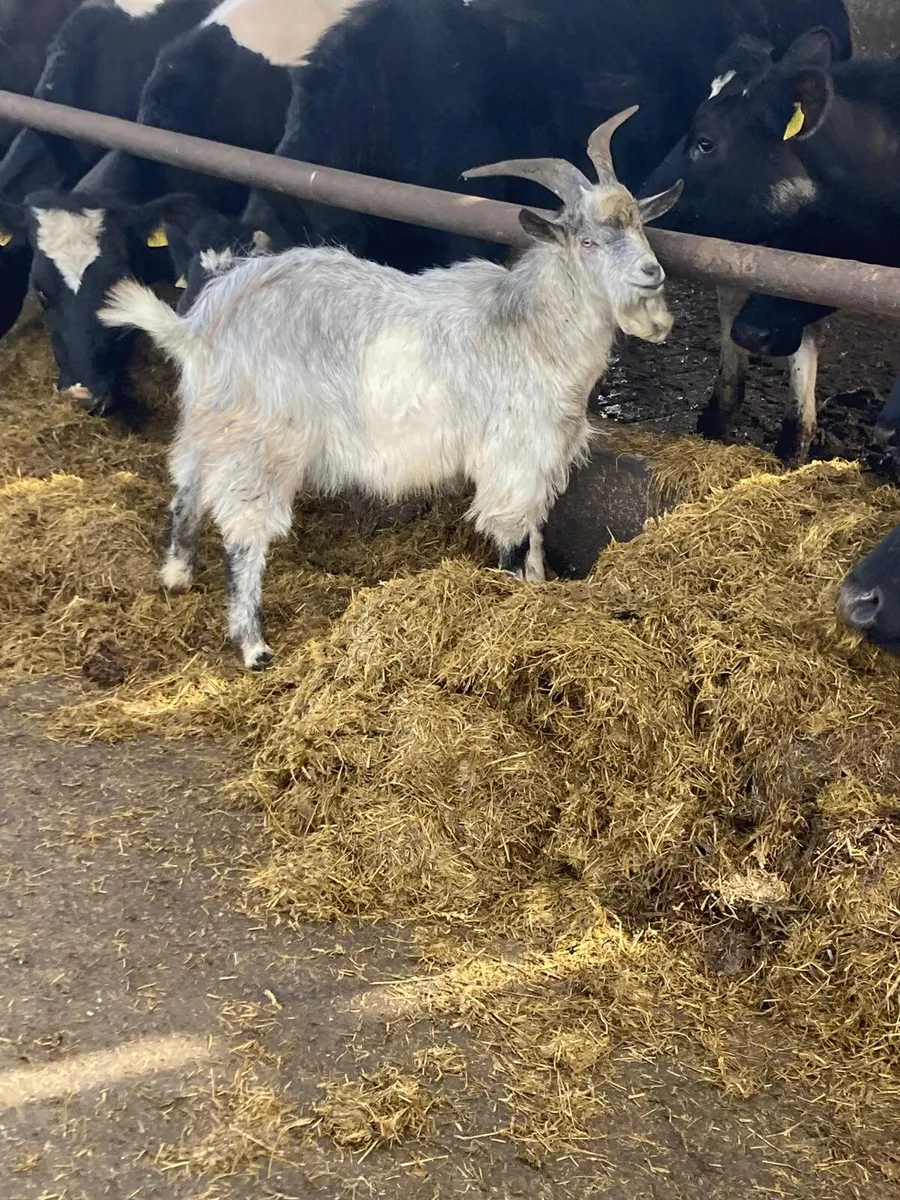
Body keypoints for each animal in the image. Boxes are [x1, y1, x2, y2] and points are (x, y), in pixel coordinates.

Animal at [99, 107, 682, 669]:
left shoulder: (540, 460)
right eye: (588, 240)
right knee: (244, 530)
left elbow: (535, 537)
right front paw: (516, 608)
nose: (652, 273)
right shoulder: (514, 456)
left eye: (639, 226)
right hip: (261, 441)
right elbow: (515, 539)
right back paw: (253, 647)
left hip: (210, 421)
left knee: (188, 486)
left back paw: (177, 573)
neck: (529, 326)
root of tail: (202, 325)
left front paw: (537, 590)